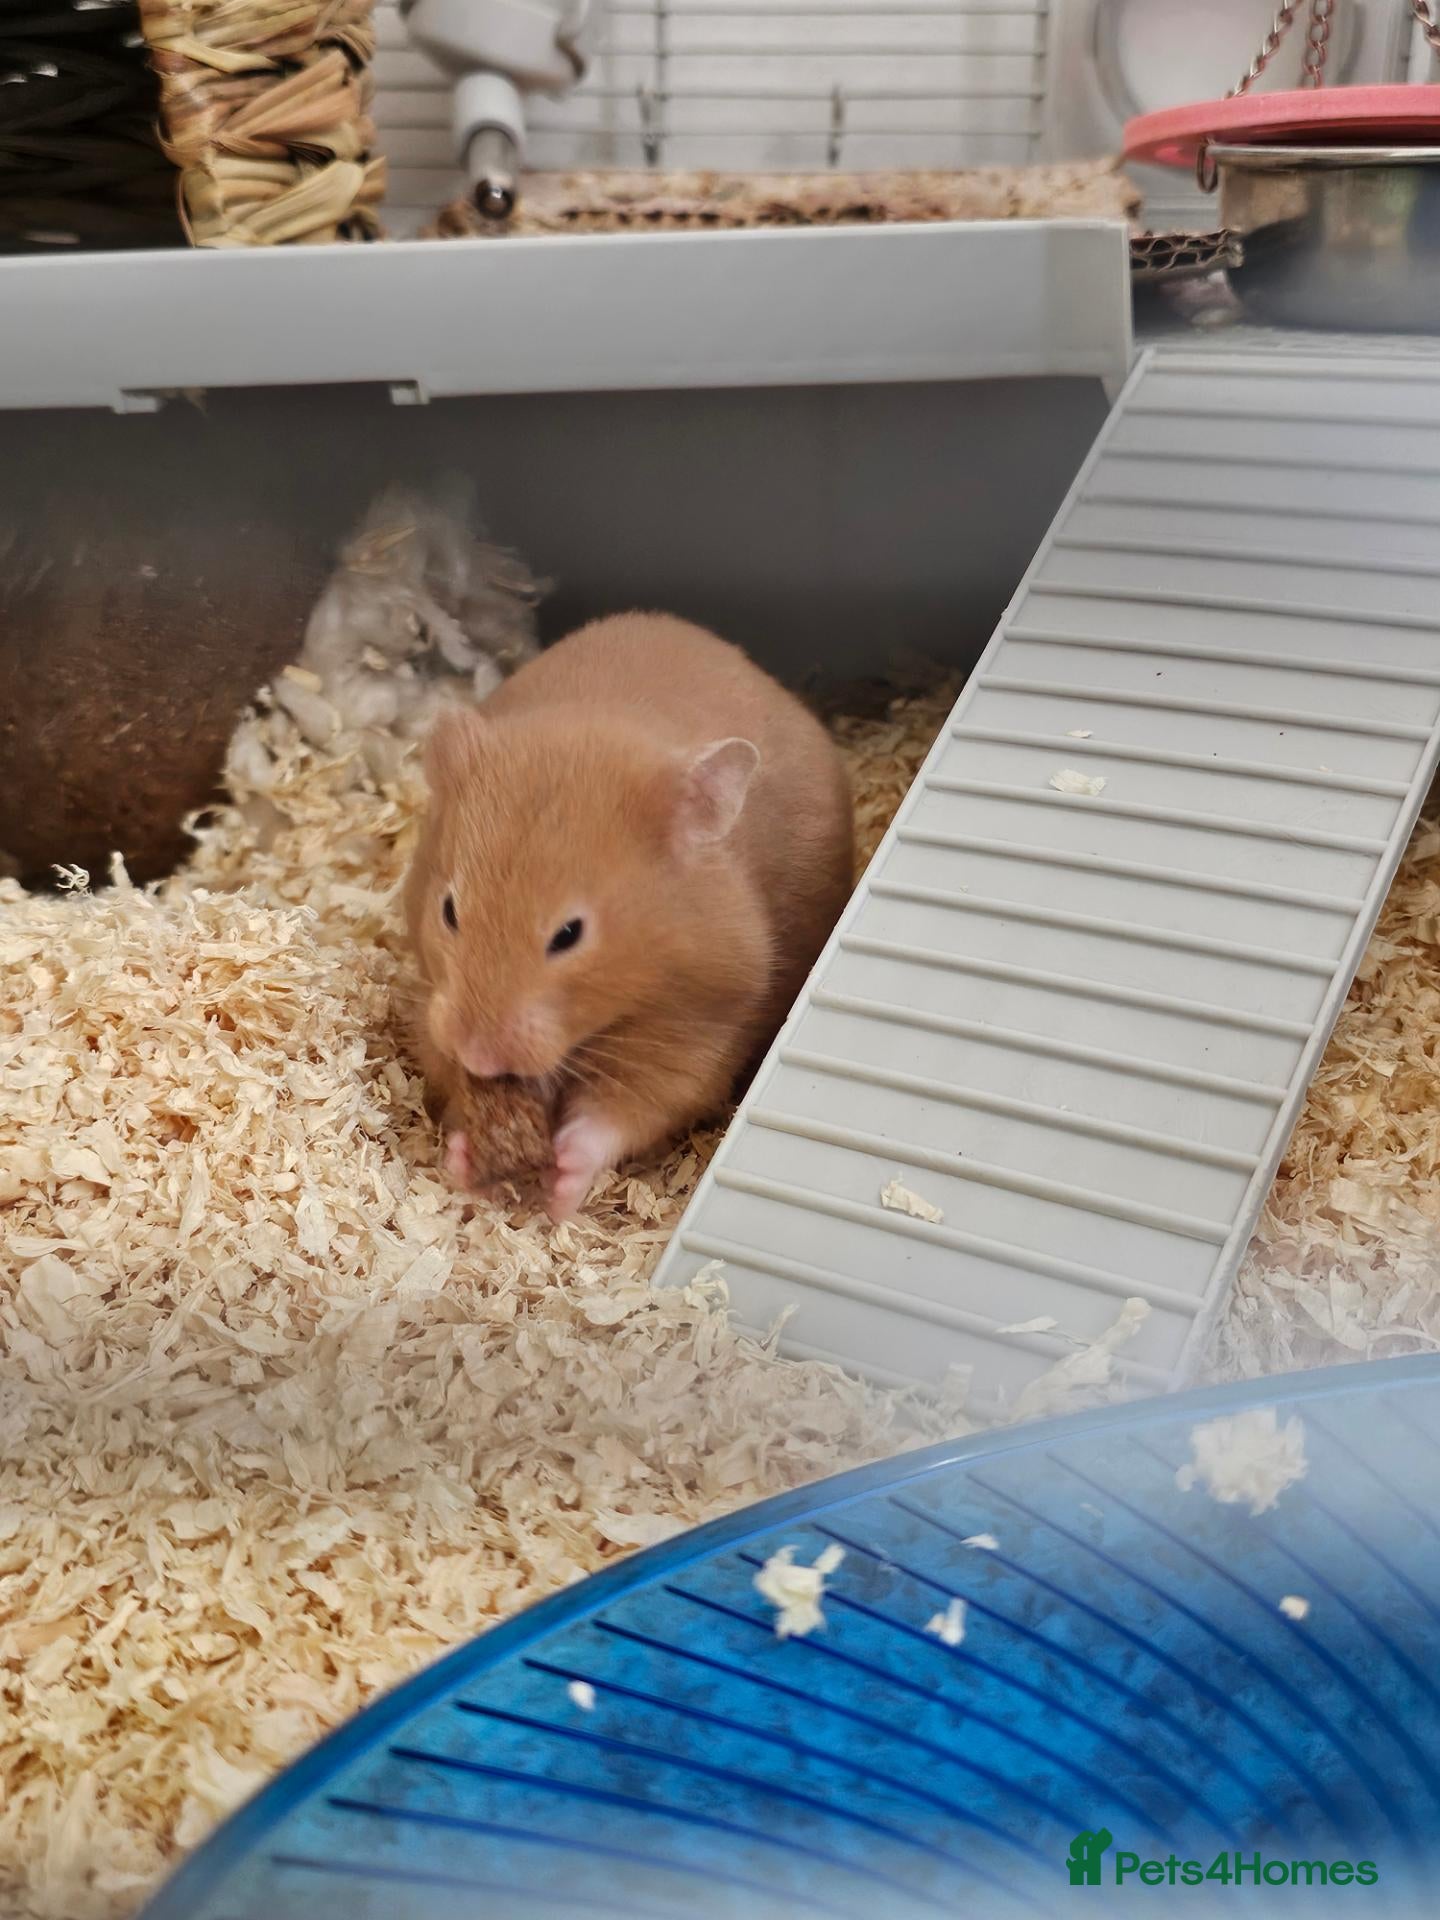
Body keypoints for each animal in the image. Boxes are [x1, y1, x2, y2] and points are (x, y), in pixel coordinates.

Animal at [404, 610, 854, 1220]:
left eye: (569, 934)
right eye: (449, 909)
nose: (479, 1054)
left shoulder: (698, 1030)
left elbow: (622, 1112)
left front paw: (563, 1184)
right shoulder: (434, 1005)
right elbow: (447, 1073)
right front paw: (465, 1156)